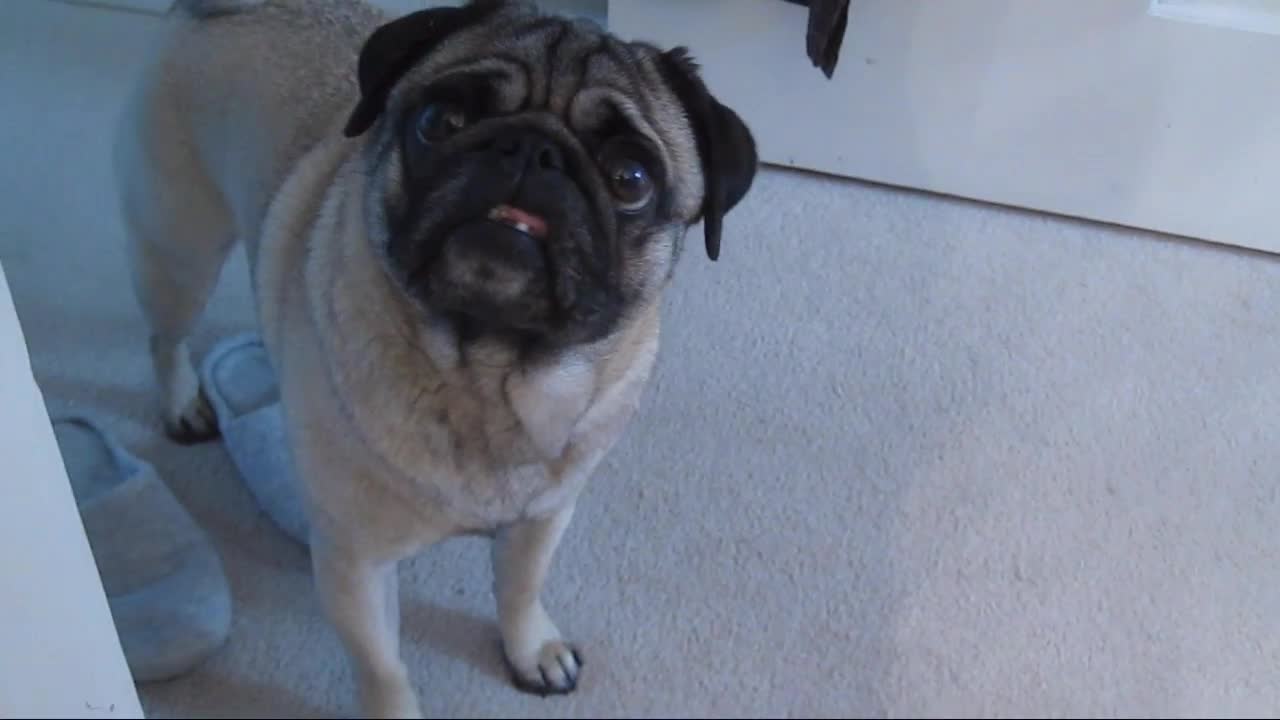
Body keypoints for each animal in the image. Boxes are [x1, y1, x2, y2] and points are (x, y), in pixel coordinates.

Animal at [115, 0, 752, 712]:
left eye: (631, 179)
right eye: (440, 123)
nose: (533, 148)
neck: (488, 376)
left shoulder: (543, 518)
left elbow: (520, 589)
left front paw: (531, 651)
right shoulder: (356, 564)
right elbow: (382, 666)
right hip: (179, 252)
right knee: (166, 335)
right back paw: (182, 404)